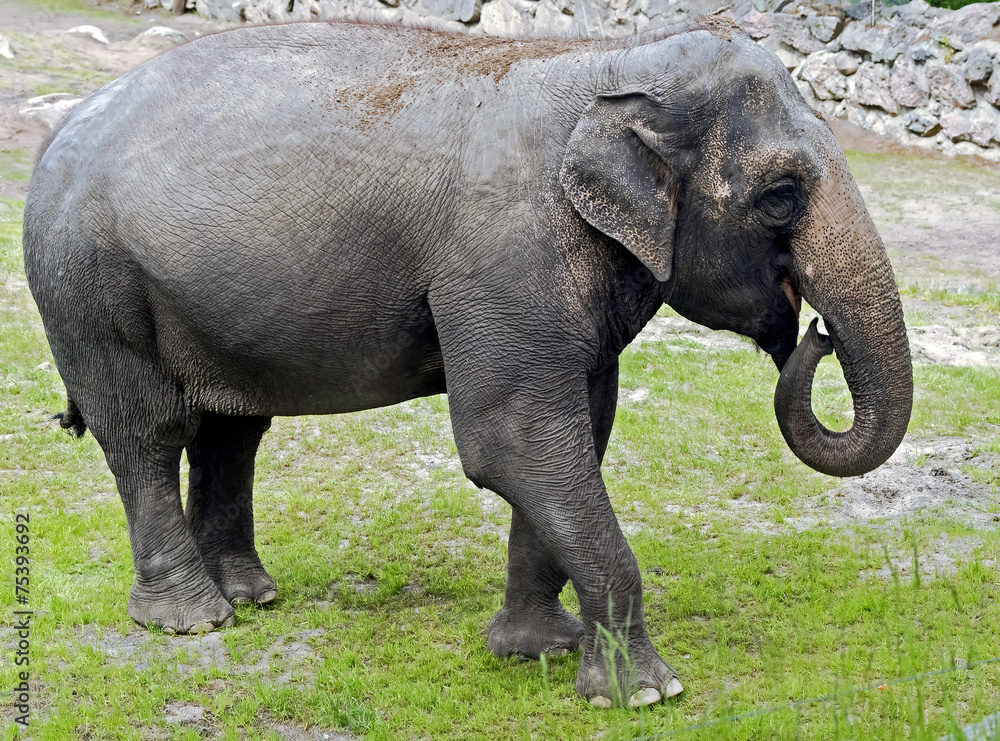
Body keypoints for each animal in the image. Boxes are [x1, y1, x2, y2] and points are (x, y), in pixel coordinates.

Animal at [22, 16, 912, 707]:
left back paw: (251, 594)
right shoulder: (504, 260)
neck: (613, 63)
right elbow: (512, 440)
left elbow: (576, 436)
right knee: (148, 433)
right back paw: (193, 618)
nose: (815, 332)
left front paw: (537, 648)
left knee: (232, 431)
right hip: (90, 287)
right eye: (780, 195)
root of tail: (57, 132)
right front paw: (649, 693)